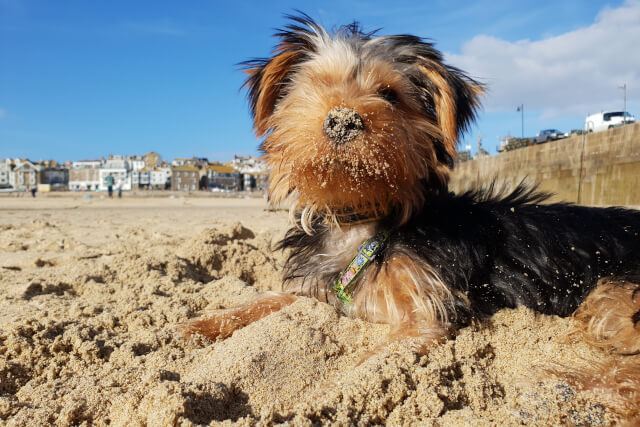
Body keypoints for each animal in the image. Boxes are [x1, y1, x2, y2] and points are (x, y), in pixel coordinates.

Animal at [182, 13, 640, 418]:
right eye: (317, 86)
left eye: (390, 95)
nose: (343, 120)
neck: (363, 218)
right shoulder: (318, 288)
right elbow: (267, 300)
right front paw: (198, 326)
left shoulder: (424, 315)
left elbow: (367, 364)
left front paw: (326, 397)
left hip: (614, 295)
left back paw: (565, 393)